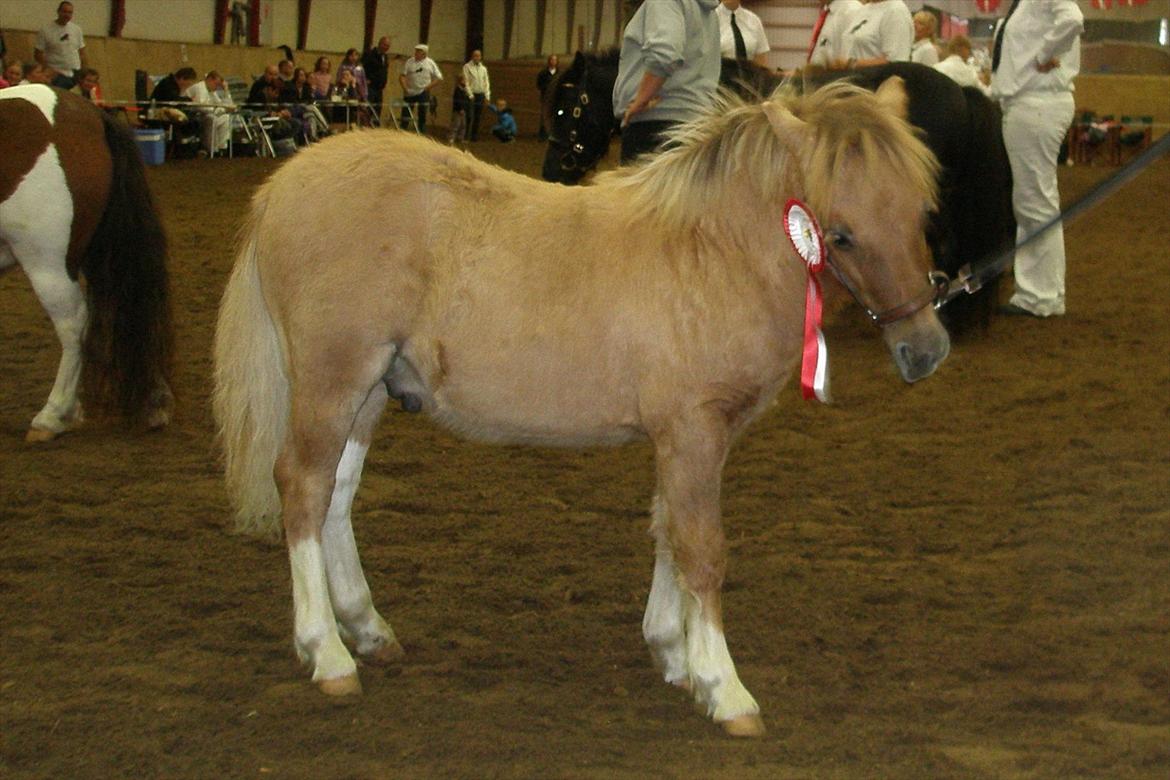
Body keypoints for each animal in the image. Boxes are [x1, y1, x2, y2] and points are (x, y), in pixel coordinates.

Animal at [215, 79, 950, 739]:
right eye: (840, 234)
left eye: (922, 213)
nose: (924, 350)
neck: (711, 252)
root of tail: (281, 186)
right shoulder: (693, 429)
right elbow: (701, 548)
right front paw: (724, 687)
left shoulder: (683, 437)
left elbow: (668, 530)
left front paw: (673, 653)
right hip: (333, 379)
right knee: (303, 489)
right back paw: (328, 654)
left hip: (370, 390)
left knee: (336, 495)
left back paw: (367, 629)